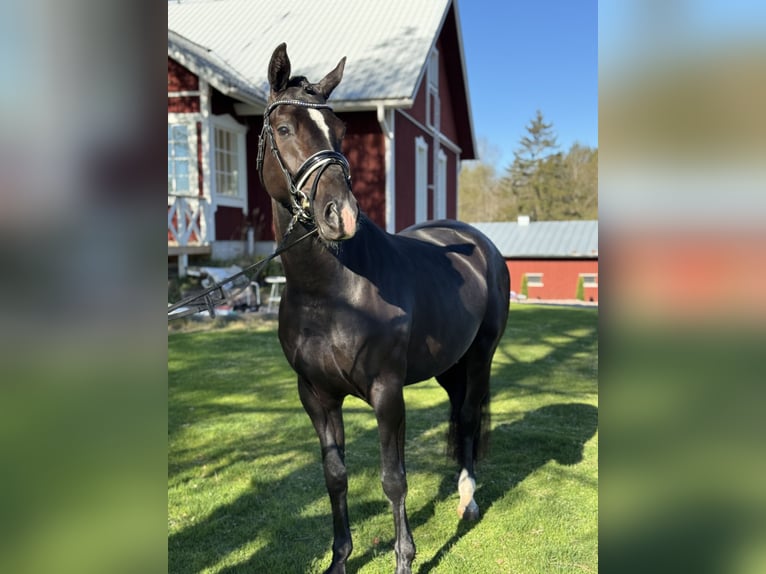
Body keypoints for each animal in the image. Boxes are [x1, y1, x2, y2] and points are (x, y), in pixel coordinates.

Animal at [257, 43, 510, 574]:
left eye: (340, 130)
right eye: (285, 128)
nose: (341, 215)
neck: (330, 292)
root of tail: (480, 244)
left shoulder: (387, 393)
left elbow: (393, 479)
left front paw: (404, 559)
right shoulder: (315, 396)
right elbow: (335, 475)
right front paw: (339, 559)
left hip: (480, 358)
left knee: (470, 417)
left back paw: (468, 500)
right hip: (448, 366)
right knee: (457, 410)